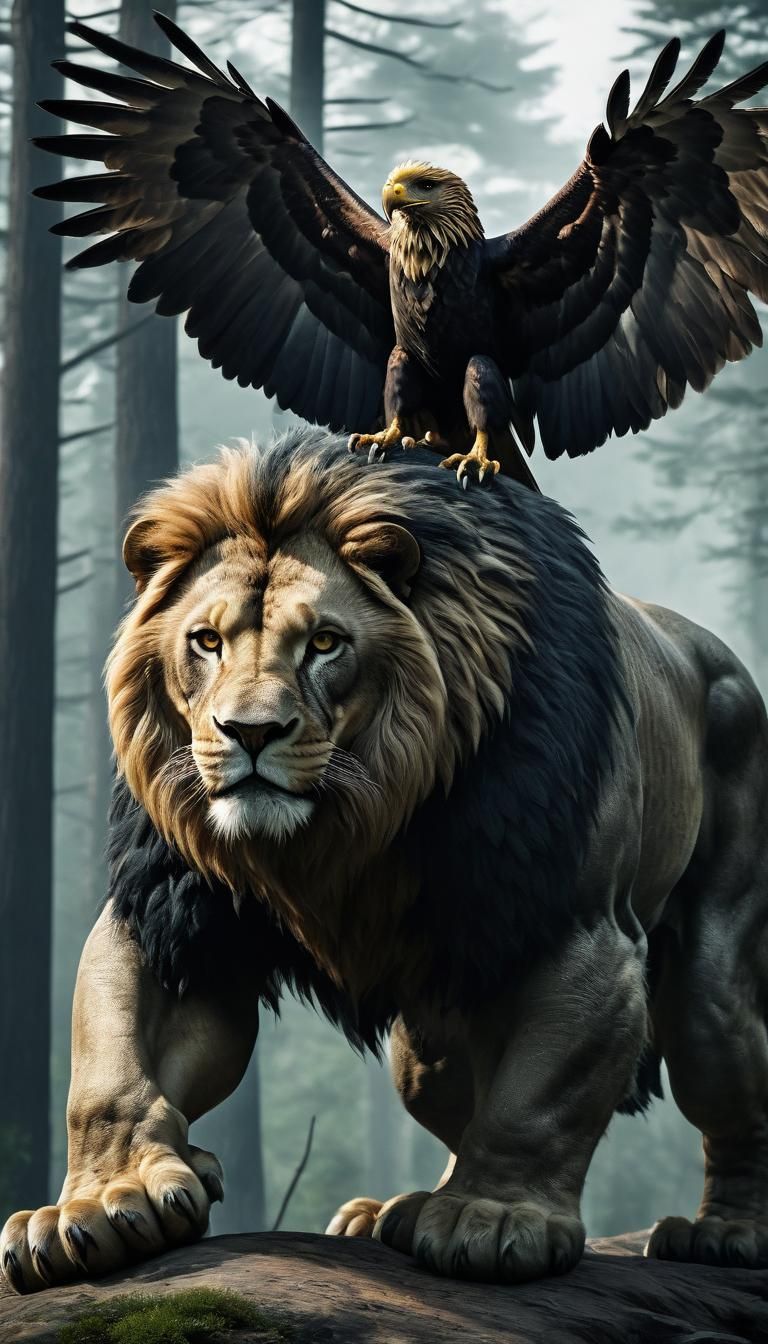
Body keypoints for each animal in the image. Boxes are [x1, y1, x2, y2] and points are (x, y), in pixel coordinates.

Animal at [3, 429, 768, 1294]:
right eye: (207, 641)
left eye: (324, 643)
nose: (250, 732)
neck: (340, 831)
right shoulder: (174, 916)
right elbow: (110, 1068)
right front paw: (101, 1203)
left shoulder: (584, 937)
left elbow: (537, 1102)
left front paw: (492, 1216)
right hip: (424, 1045)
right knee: (449, 1094)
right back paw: (390, 1211)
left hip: (709, 987)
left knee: (724, 1077)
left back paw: (724, 1233)